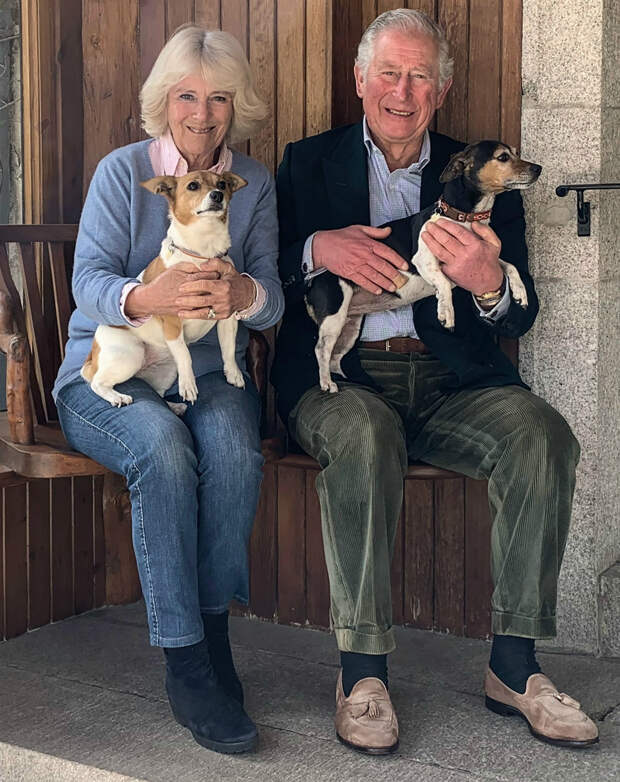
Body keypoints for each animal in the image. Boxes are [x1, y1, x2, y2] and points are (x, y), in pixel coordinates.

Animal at [81, 169, 247, 410]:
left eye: (223, 184)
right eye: (193, 186)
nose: (217, 195)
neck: (202, 253)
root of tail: (92, 356)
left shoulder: (228, 319)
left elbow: (228, 349)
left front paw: (233, 373)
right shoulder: (172, 323)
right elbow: (186, 356)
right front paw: (188, 386)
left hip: (166, 371)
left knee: (159, 395)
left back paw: (174, 407)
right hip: (130, 353)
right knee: (96, 382)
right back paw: (117, 397)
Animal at [305, 140, 542, 392]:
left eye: (515, 153)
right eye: (503, 157)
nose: (538, 168)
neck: (464, 218)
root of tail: (312, 281)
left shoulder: (483, 256)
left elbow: (509, 266)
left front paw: (520, 293)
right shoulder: (423, 259)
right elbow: (444, 283)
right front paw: (446, 312)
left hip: (349, 327)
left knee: (334, 358)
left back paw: (346, 381)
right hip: (334, 317)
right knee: (321, 350)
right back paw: (327, 384)